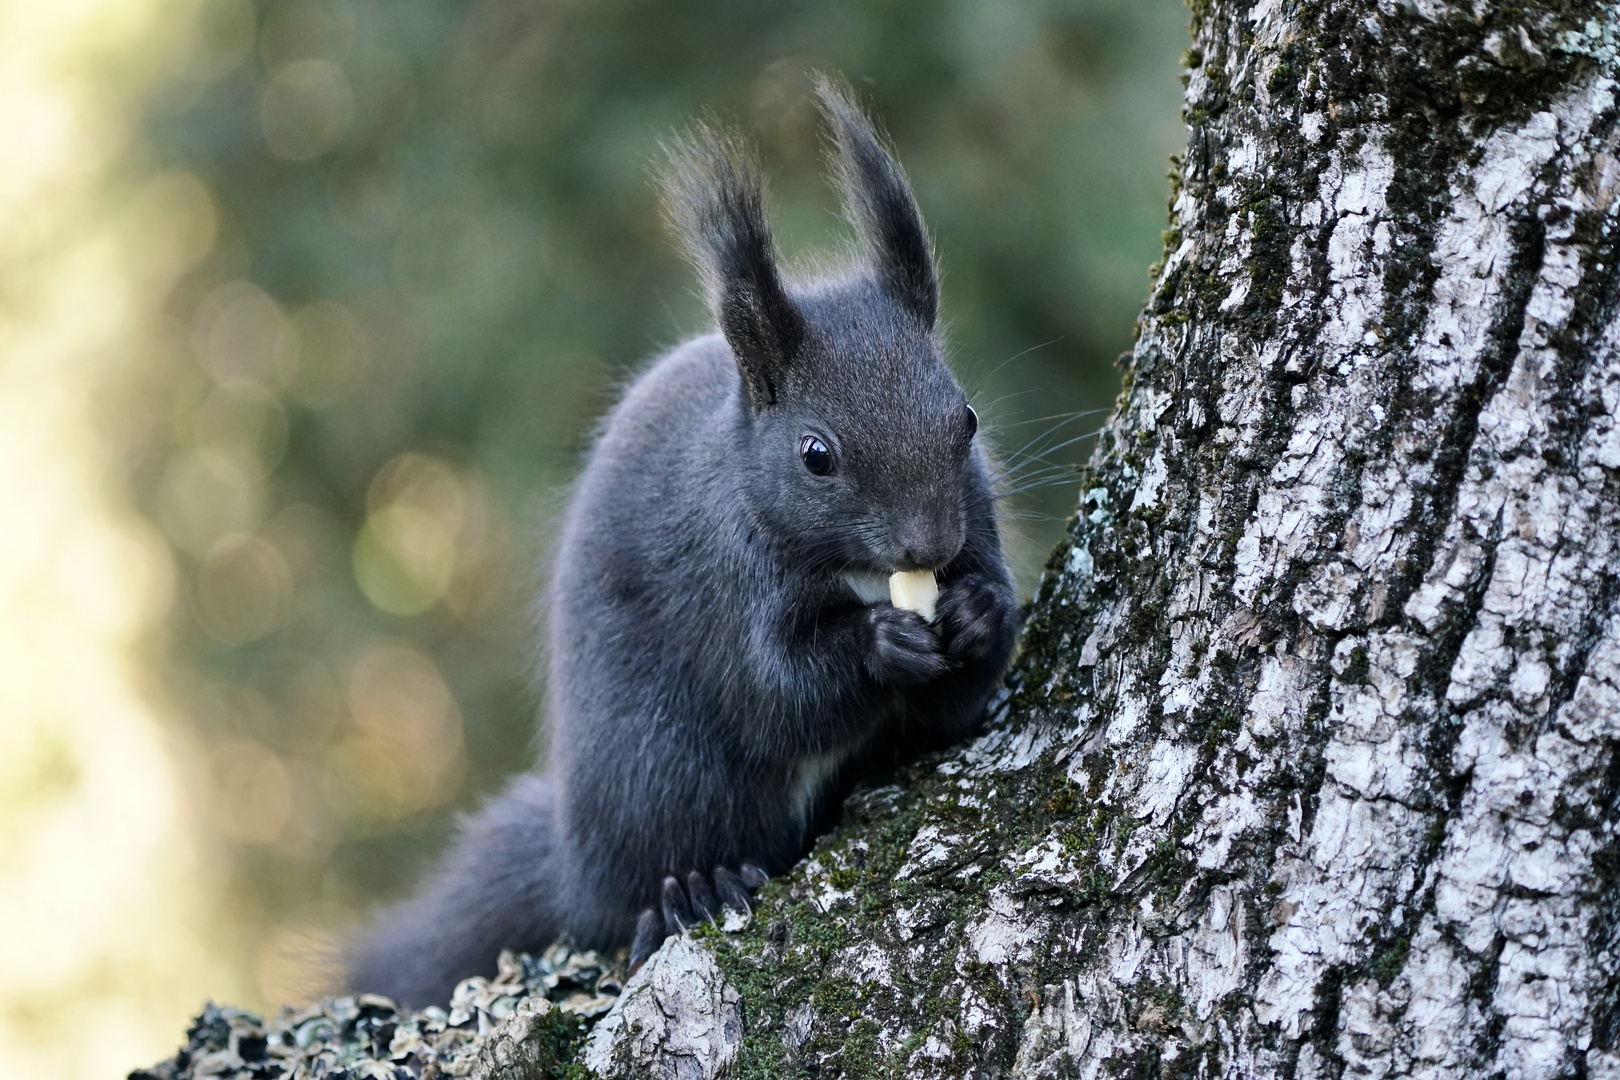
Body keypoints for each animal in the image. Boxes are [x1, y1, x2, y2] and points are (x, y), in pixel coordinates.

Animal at [348, 80, 1017, 1010]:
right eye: (817, 455)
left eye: (968, 419)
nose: (930, 544)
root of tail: (575, 863)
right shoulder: (722, 578)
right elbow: (778, 692)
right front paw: (881, 644)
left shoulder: (977, 522)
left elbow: (958, 704)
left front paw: (980, 611)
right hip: (661, 766)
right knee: (644, 881)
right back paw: (693, 889)